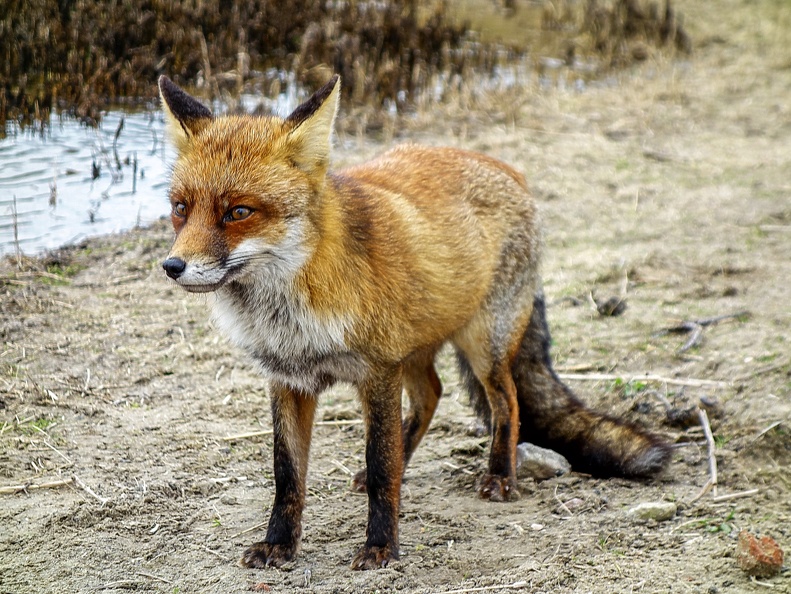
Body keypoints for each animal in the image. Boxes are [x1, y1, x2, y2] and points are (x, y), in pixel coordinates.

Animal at [159, 75, 668, 568]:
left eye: (238, 212)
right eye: (181, 208)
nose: (172, 266)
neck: (292, 312)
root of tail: (509, 169)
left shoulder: (378, 372)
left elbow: (382, 467)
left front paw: (381, 547)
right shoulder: (289, 381)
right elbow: (288, 476)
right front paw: (279, 544)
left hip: (484, 347)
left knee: (507, 402)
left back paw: (500, 476)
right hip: (417, 349)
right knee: (433, 395)